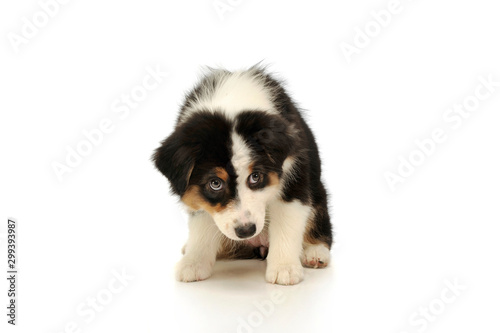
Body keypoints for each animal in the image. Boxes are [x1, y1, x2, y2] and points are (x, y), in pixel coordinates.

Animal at [152, 65, 332, 286]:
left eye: (255, 177)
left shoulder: (295, 175)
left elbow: (286, 221)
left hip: (318, 193)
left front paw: (285, 268)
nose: (246, 231)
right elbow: (202, 222)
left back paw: (315, 252)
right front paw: (194, 263)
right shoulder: (198, 194)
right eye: (215, 183)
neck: (230, 102)